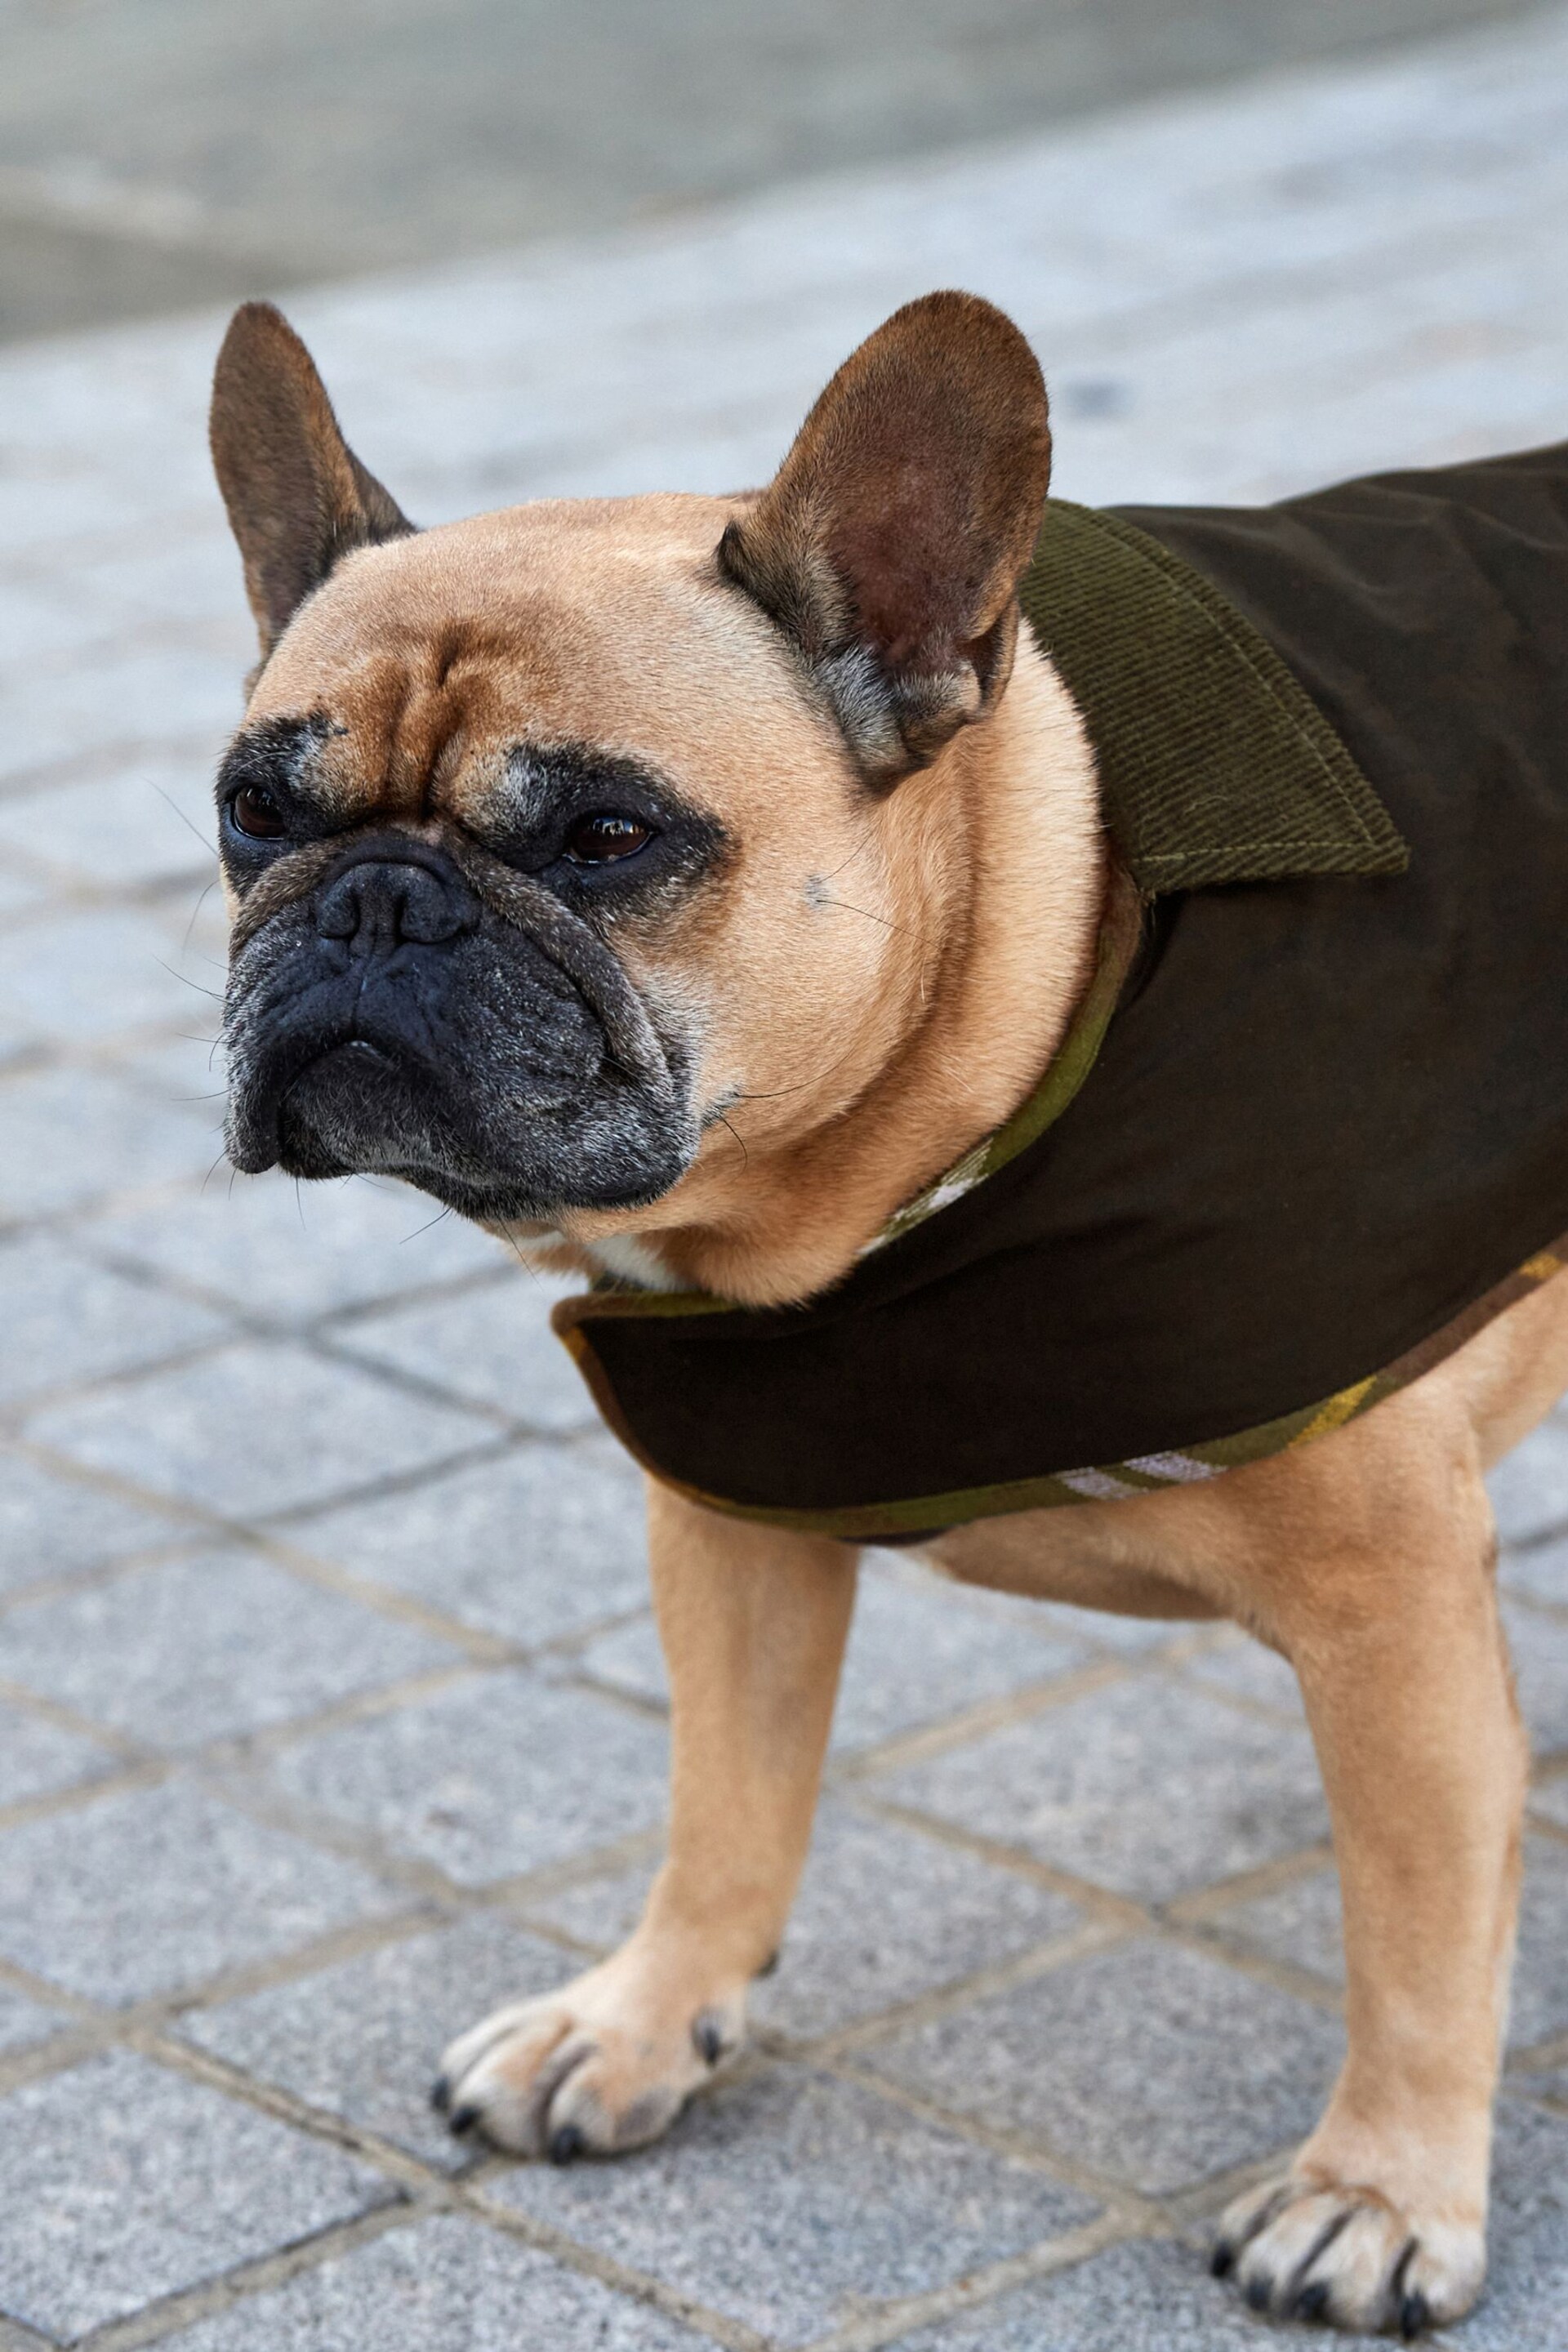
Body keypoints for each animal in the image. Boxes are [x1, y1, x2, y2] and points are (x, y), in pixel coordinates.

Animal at [205, 294, 1568, 2332]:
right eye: (248, 813)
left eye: (604, 835)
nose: (369, 903)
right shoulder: (735, 1530)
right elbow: (727, 1800)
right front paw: (642, 2017)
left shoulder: (1388, 1611)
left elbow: (1413, 1924)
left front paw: (1384, 2189)